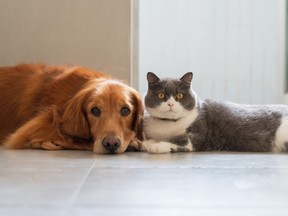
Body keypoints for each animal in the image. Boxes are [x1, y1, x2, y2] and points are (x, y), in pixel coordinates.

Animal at [142, 72, 288, 154]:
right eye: (161, 95)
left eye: (179, 95)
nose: (171, 104)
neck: (168, 124)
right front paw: (147, 142)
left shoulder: (197, 135)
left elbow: (179, 139)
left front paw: (156, 146)